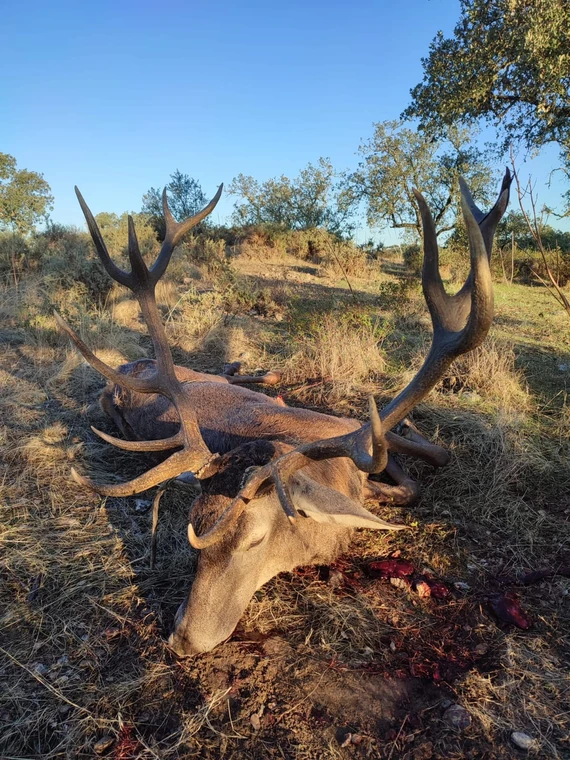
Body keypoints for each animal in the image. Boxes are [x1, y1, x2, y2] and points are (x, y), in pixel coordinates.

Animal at [55, 169, 511, 657]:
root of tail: (114, 384)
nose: (183, 638)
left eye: (255, 537)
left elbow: (428, 460)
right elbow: (416, 476)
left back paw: (249, 370)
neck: (340, 474)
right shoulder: (356, 435)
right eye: (194, 524)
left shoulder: (348, 428)